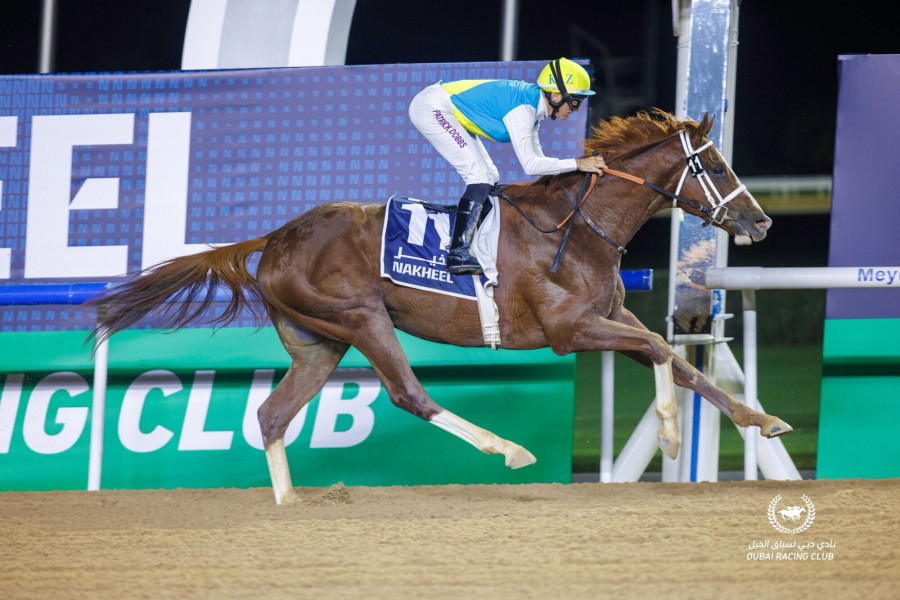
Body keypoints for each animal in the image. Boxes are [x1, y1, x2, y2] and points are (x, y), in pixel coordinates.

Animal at [89, 109, 796, 506]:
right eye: (715, 166)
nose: (760, 221)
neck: (578, 228)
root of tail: (275, 237)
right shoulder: (570, 329)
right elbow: (658, 351)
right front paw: (672, 434)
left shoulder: (611, 316)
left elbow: (684, 363)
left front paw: (763, 420)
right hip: (361, 317)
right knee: (408, 394)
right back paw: (507, 450)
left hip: (319, 342)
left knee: (271, 414)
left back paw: (291, 503)